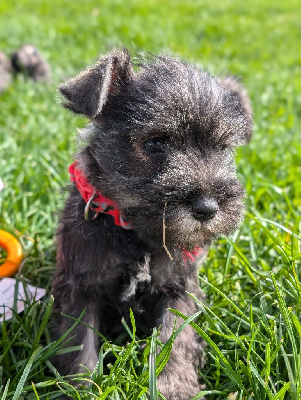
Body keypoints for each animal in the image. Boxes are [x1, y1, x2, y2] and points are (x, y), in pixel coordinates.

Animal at [52, 48, 251, 398]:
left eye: (222, 148)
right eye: (155, 143)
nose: (208, 208)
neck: (135, 231)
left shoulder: (177, 289)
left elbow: (175, 341)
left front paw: (173, 387)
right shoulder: (80, 287)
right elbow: (80, 347)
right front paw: (83, 388)